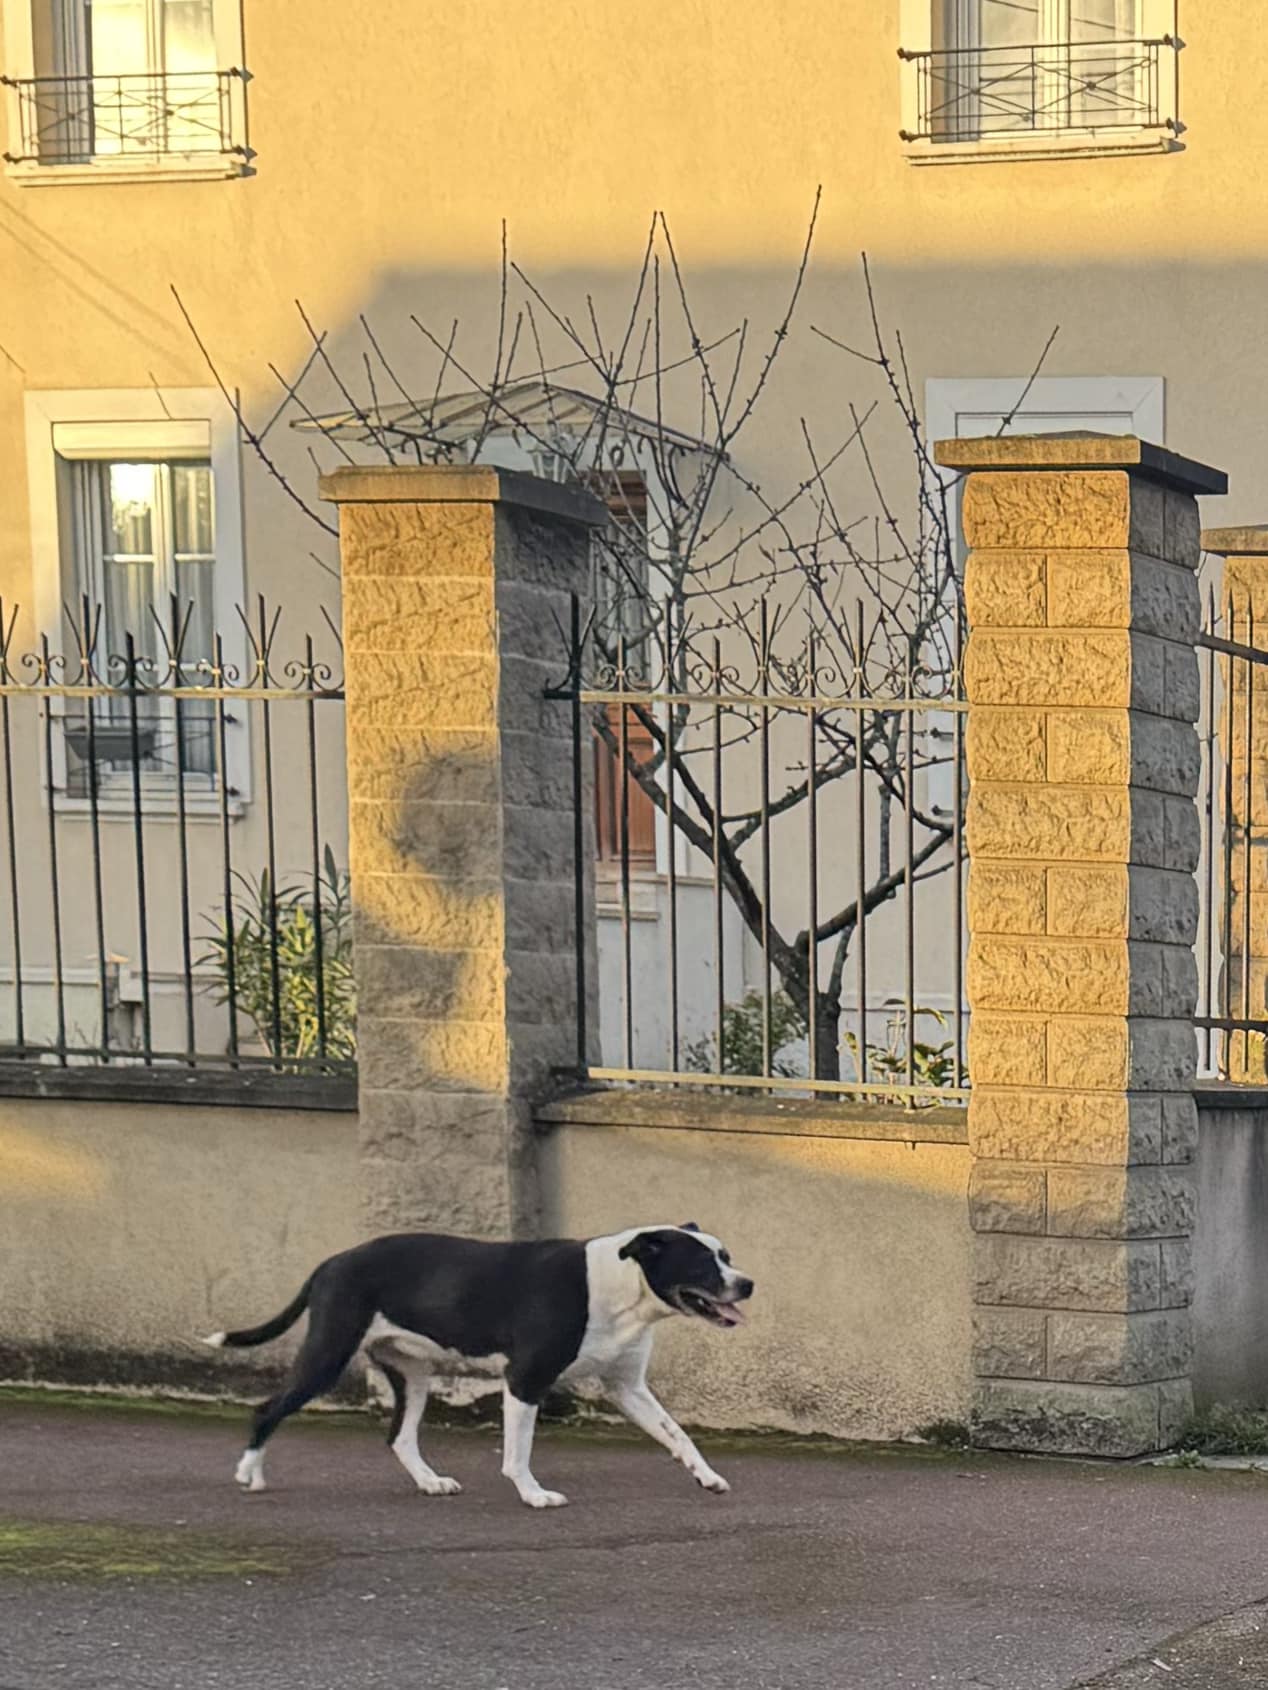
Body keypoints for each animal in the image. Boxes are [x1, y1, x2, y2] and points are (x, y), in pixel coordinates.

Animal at [202, 1222, 753, 1508]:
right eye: (703, 1264)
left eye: (727, 1256)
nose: (747, 1283)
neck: (621, 1285)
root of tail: (330, 1263)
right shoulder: (526, 1380)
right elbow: (518, 1453)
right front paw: (533, 1494)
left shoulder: (629, 1389)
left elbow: (678, 1435)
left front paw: (706, 1476)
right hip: (327, 1356)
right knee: (269, 1408)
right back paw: (250, 1473)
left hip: (413, 1374)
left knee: (399, 1436)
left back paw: (430, 1481)